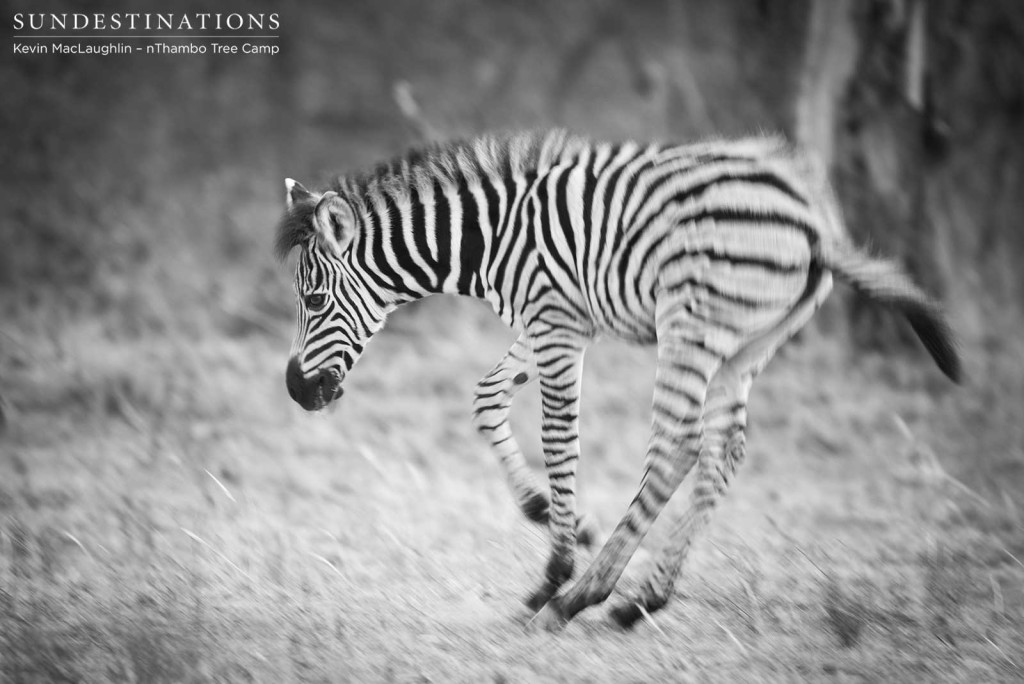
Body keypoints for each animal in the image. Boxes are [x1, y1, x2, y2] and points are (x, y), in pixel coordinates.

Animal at [274, 131, 958, 634]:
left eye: (313, 300)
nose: (296, 393)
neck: (490, 238)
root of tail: (815, 223)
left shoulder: (556, 321)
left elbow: (558, 438)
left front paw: (557, 565)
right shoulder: (550, 320)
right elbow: (486, 398)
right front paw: (548, 510)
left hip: (690, 324)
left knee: (678, 444)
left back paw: (579, 597)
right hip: (747, 346)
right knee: (726, 446)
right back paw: (643, 598)